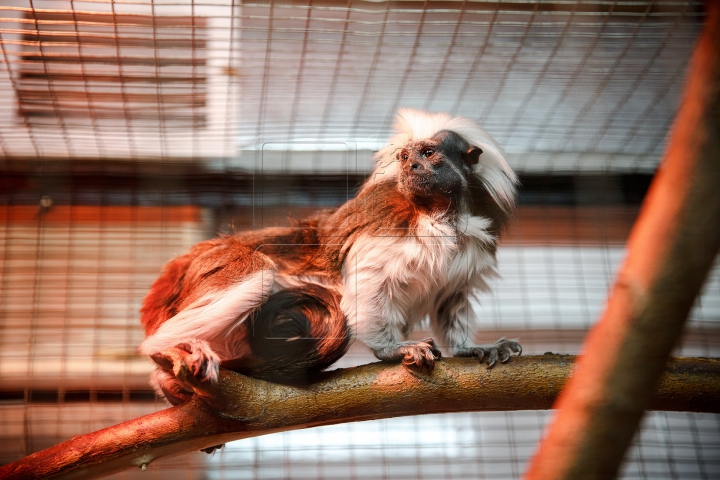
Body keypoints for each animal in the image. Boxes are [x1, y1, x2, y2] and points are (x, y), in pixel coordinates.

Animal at [141, 109, 520, 404]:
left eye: (428, 152)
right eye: (404, 157)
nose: (411, 165)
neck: (440, 215)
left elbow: (450, 300)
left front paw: (470, 348)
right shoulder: (385, 230)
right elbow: (366, 281)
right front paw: (391, 350)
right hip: (217, 266)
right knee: (257, 271)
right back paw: (173, 352)